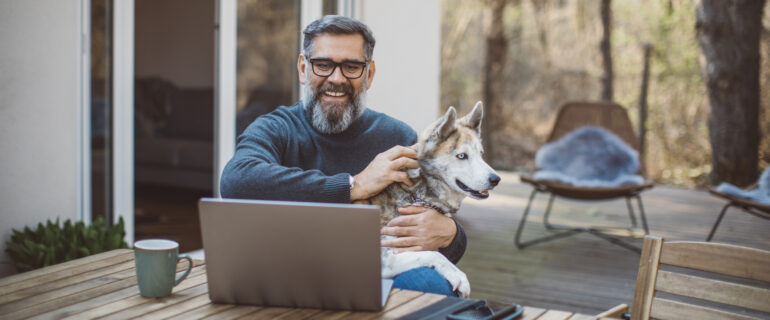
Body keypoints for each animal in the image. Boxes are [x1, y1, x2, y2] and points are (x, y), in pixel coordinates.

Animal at [356, 102, 500, 298]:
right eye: (461, 156)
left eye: (481, 154)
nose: (496, 179)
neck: (415, 193)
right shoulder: (384, 258)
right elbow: (434, 254)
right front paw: (459, 276)